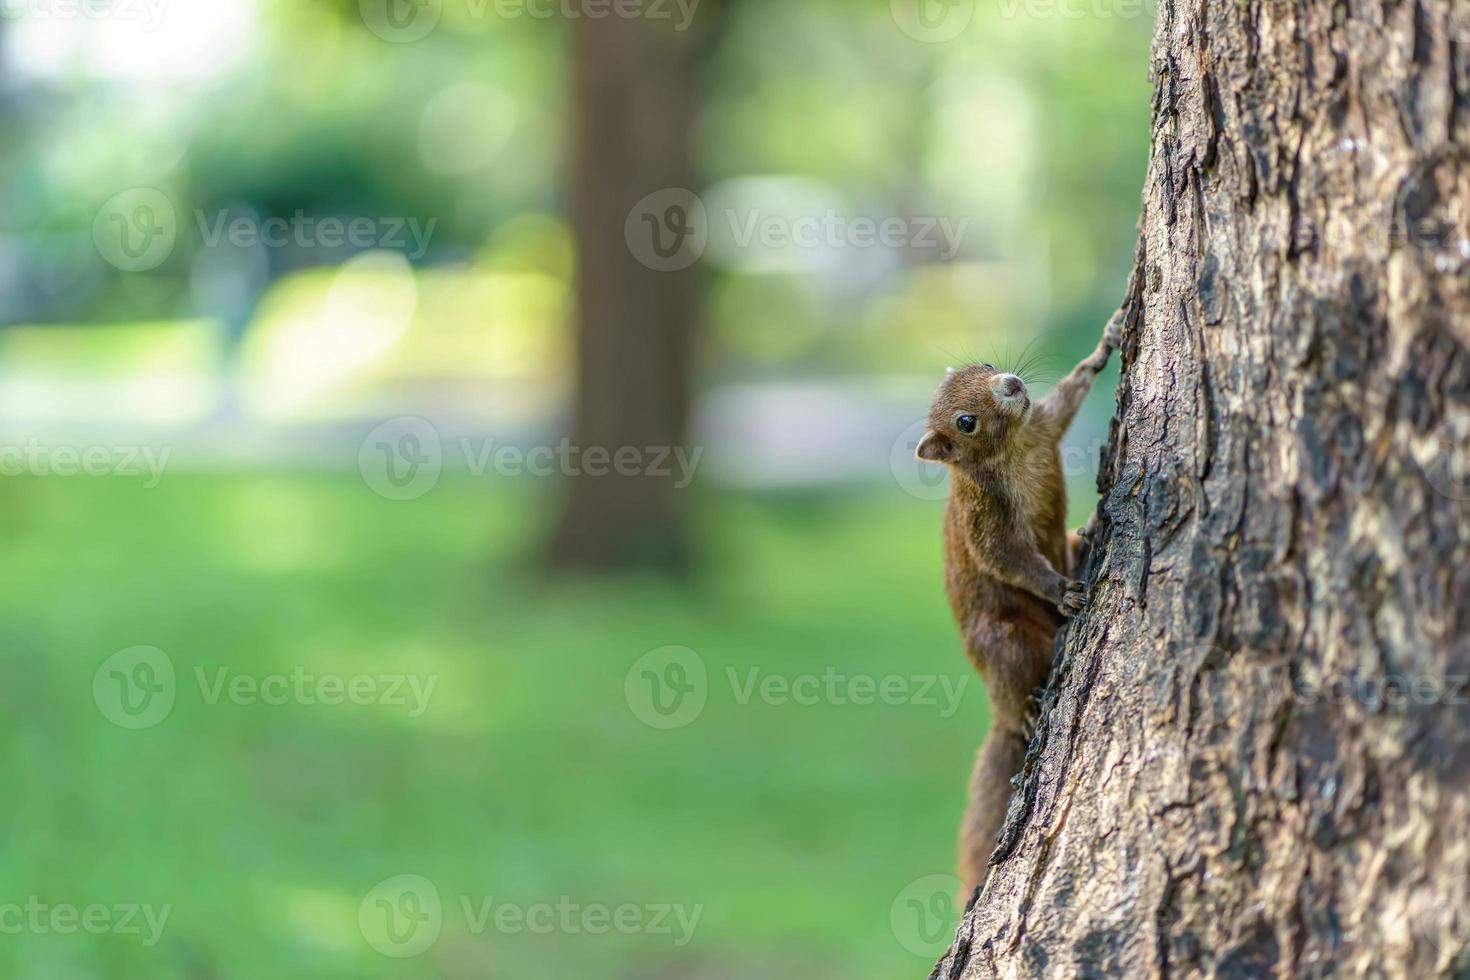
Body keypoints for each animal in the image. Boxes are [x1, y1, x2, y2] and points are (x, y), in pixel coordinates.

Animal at [917, 323, 1123, 899]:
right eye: (964, 422)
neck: (1016, 448)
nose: (1009, 383)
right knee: (1014, 675)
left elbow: (1070, 395)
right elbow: (1009, 560)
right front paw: (1062, 590)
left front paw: (1107, 344)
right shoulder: (985, 518)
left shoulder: (1045, 425)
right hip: (1002, 642)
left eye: (984, 365)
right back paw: (1028, 708)